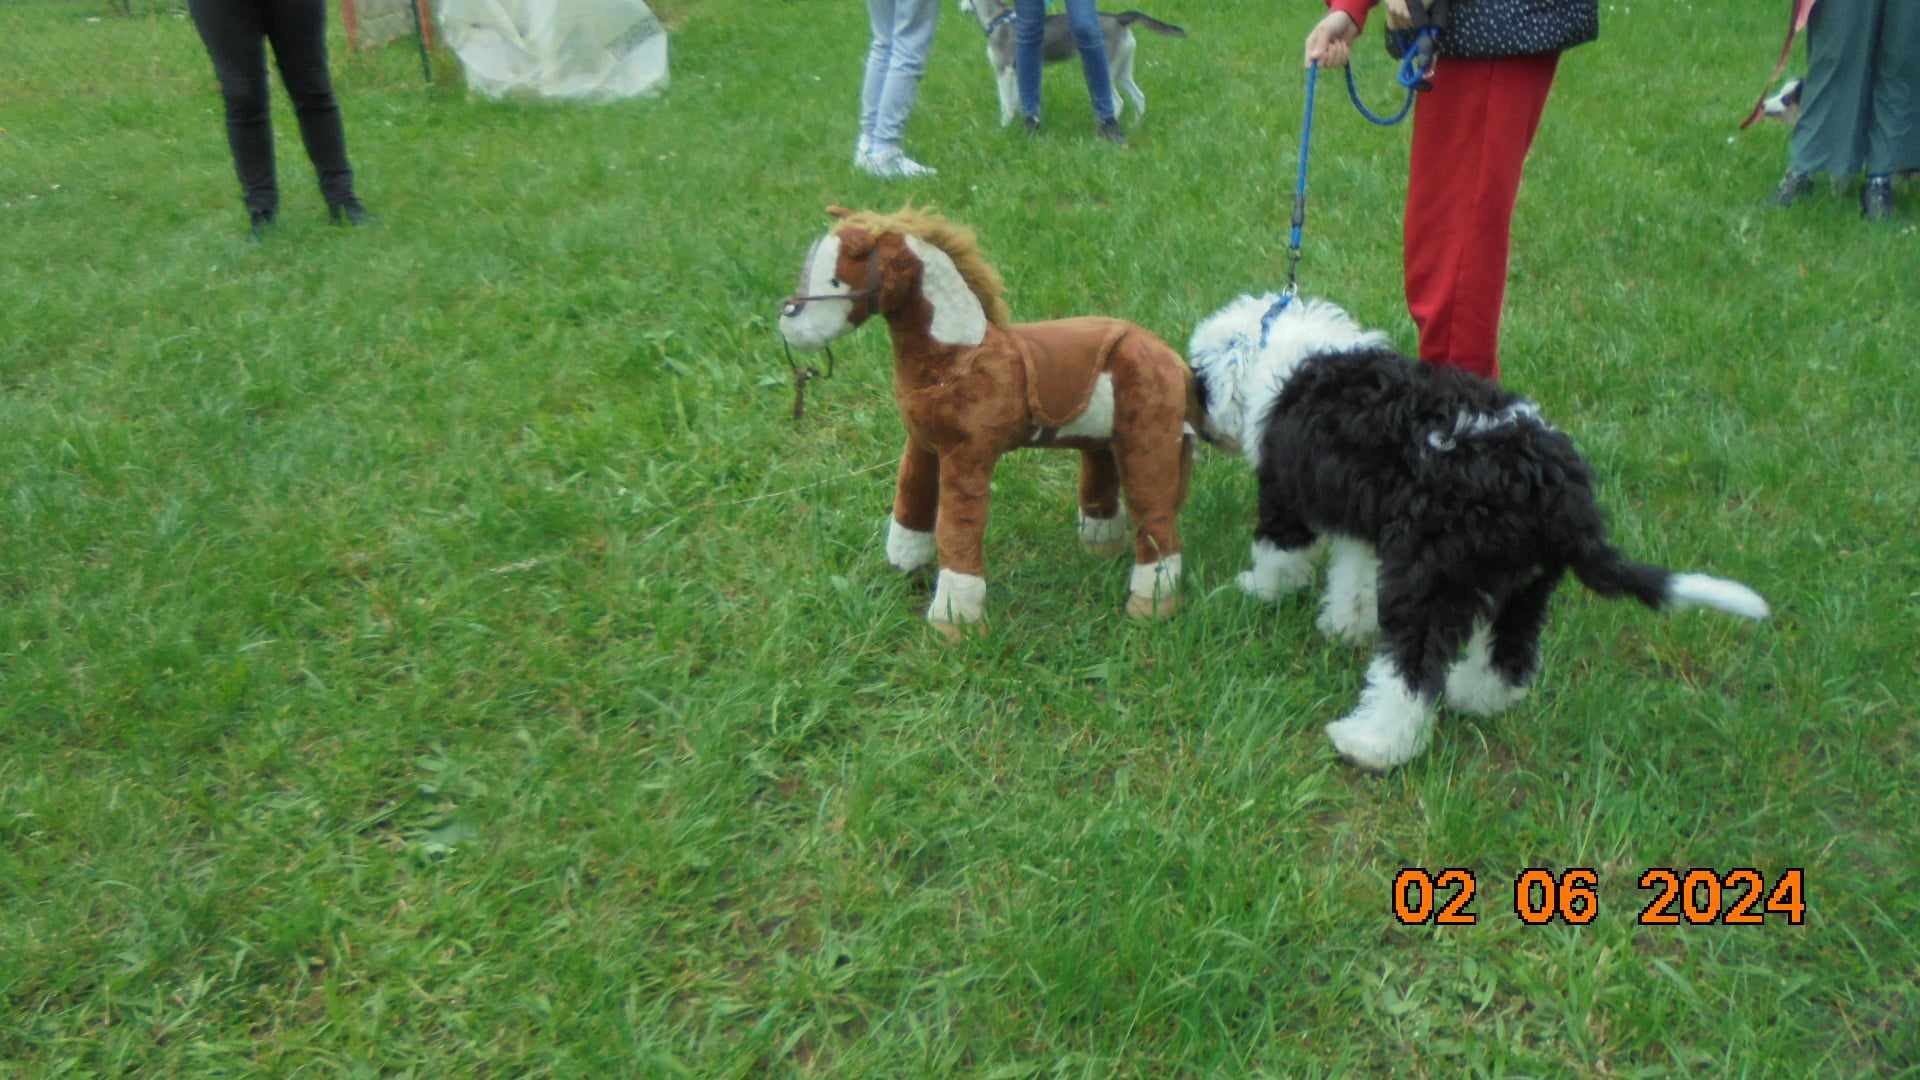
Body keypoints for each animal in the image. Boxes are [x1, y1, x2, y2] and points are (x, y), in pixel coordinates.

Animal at [1190, 292, 1774, 764]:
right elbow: (1352, 579)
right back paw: (1474, 698)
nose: (1199, 433)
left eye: (1198, 385)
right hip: (1526, 583)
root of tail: (1556, 492)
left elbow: (1279, 550)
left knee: (1413, 672)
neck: (1274, 343)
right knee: (1509, 658)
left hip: (1429, 576)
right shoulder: (1366, 524)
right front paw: (1343, 626)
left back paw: (1371, 744)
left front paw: (1258, 590)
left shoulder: (1284, 494)